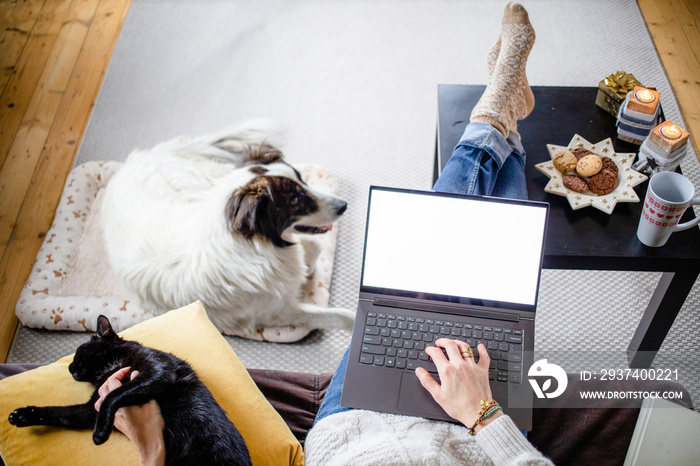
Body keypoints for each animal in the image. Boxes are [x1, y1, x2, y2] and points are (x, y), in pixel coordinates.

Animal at [8, 314, 252, 464]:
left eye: (77, 352)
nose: (69, 368)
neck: (110, 366)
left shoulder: (157, 371)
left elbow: (113, 395)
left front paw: (100, 433)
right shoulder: (90, 410)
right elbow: (58, 412)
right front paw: (23, 415)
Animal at [102, 121, 356, 334]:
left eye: (302, 179)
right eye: (294, 200)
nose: (343, 206)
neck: (253, 245)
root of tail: (135, 161)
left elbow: (314, 248)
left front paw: (307, 269)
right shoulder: (278, 312)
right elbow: (341, 315)